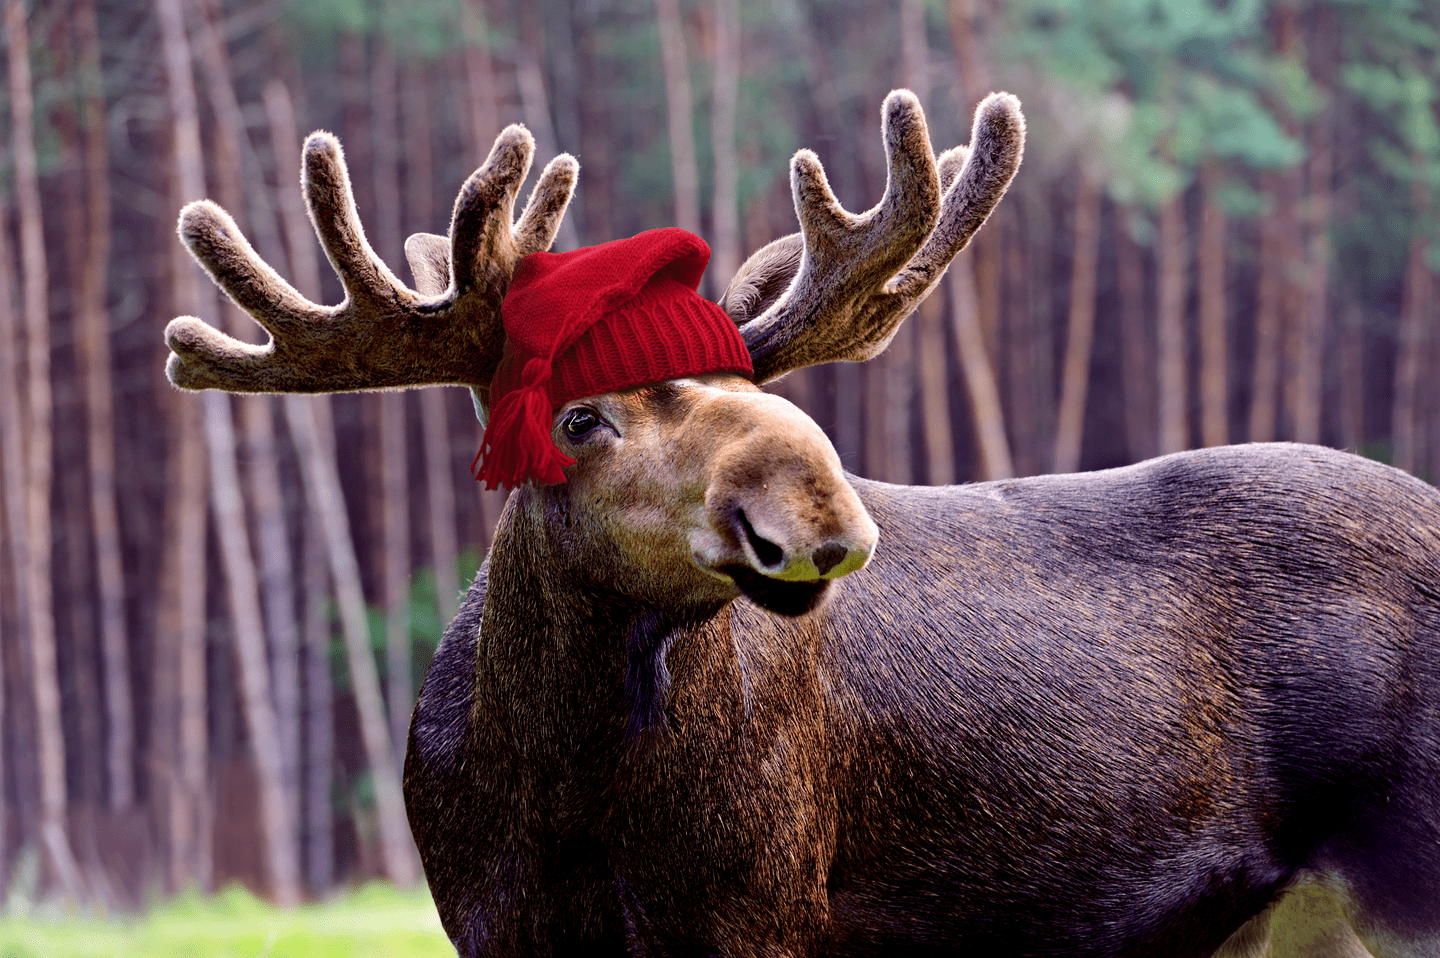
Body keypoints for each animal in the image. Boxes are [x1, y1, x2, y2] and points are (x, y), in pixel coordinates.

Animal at [163, 91, 1434, 956]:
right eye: (578, 416)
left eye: (760, 385)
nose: (816, 510)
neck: (562, 793)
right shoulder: (490, 921)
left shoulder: (757, 907)